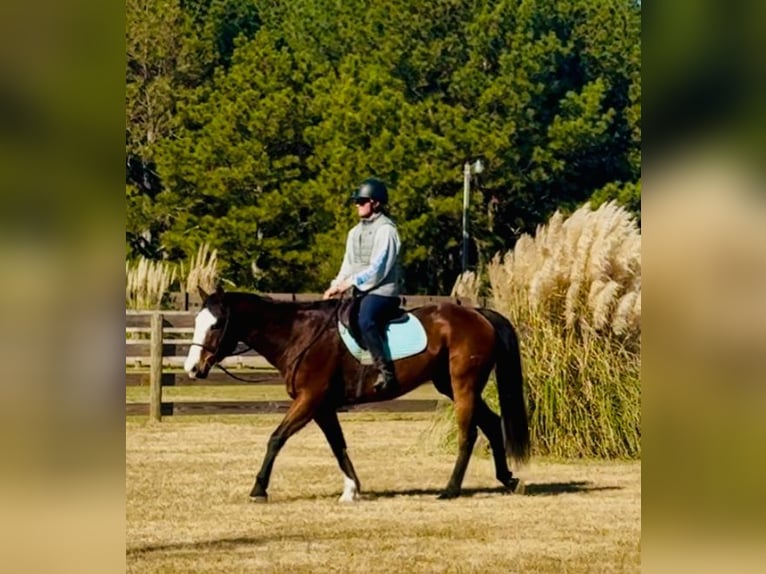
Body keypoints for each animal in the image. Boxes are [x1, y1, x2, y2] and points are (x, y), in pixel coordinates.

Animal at [184, 286, 530, 502]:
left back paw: (450, 489)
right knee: (491, 422)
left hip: (463, 384)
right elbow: (338, 445)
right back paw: (507, 479)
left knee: (468, 433)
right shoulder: (321, 407)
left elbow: (276, 438)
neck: (298, 335)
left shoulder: (309, 400)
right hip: (449, 384)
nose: (192, 368)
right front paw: (352, 489)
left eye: (216, 325)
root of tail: (478, 314)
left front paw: (258, 489)